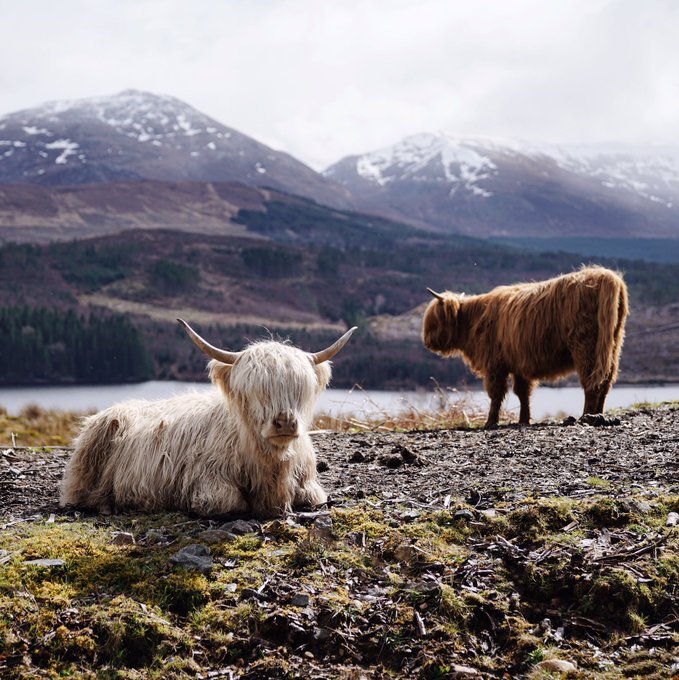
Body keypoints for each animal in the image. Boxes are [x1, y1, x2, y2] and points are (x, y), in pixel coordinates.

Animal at [59, 320, 357, 517]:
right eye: (253, 389)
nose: (284, 422)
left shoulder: (309, 486)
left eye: (299, 388)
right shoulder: (208, 482)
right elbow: (229, 502)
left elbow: (312, 497)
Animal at [423, 266, 628, 428]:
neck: (473, 321)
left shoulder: (494, 364)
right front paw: (523, 419)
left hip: (585, 346)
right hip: (612, 346)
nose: (427, 342)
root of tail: (606, 277)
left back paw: (586, 416)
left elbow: (496, 394)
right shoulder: (518, 364)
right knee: (605, 382)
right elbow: (522, 393)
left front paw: (490, 422)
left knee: (591, 383)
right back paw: (599, 415)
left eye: (433, 320)